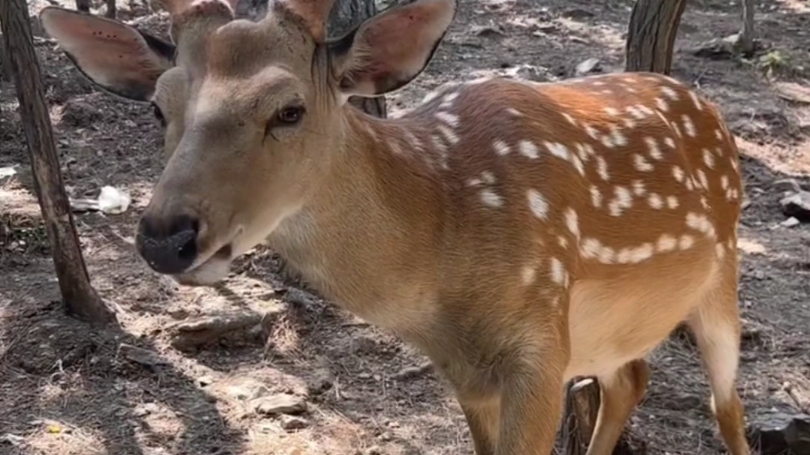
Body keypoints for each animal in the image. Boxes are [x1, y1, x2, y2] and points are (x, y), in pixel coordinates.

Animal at [34, 0, 748, 454]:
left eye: (289, 109)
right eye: (159, 107)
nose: (166, 236)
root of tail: (707, 104)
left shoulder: (540, 343)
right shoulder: (466, 372)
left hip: (723, 276)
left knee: (727, 408)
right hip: (611, 332)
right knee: (631, 380)